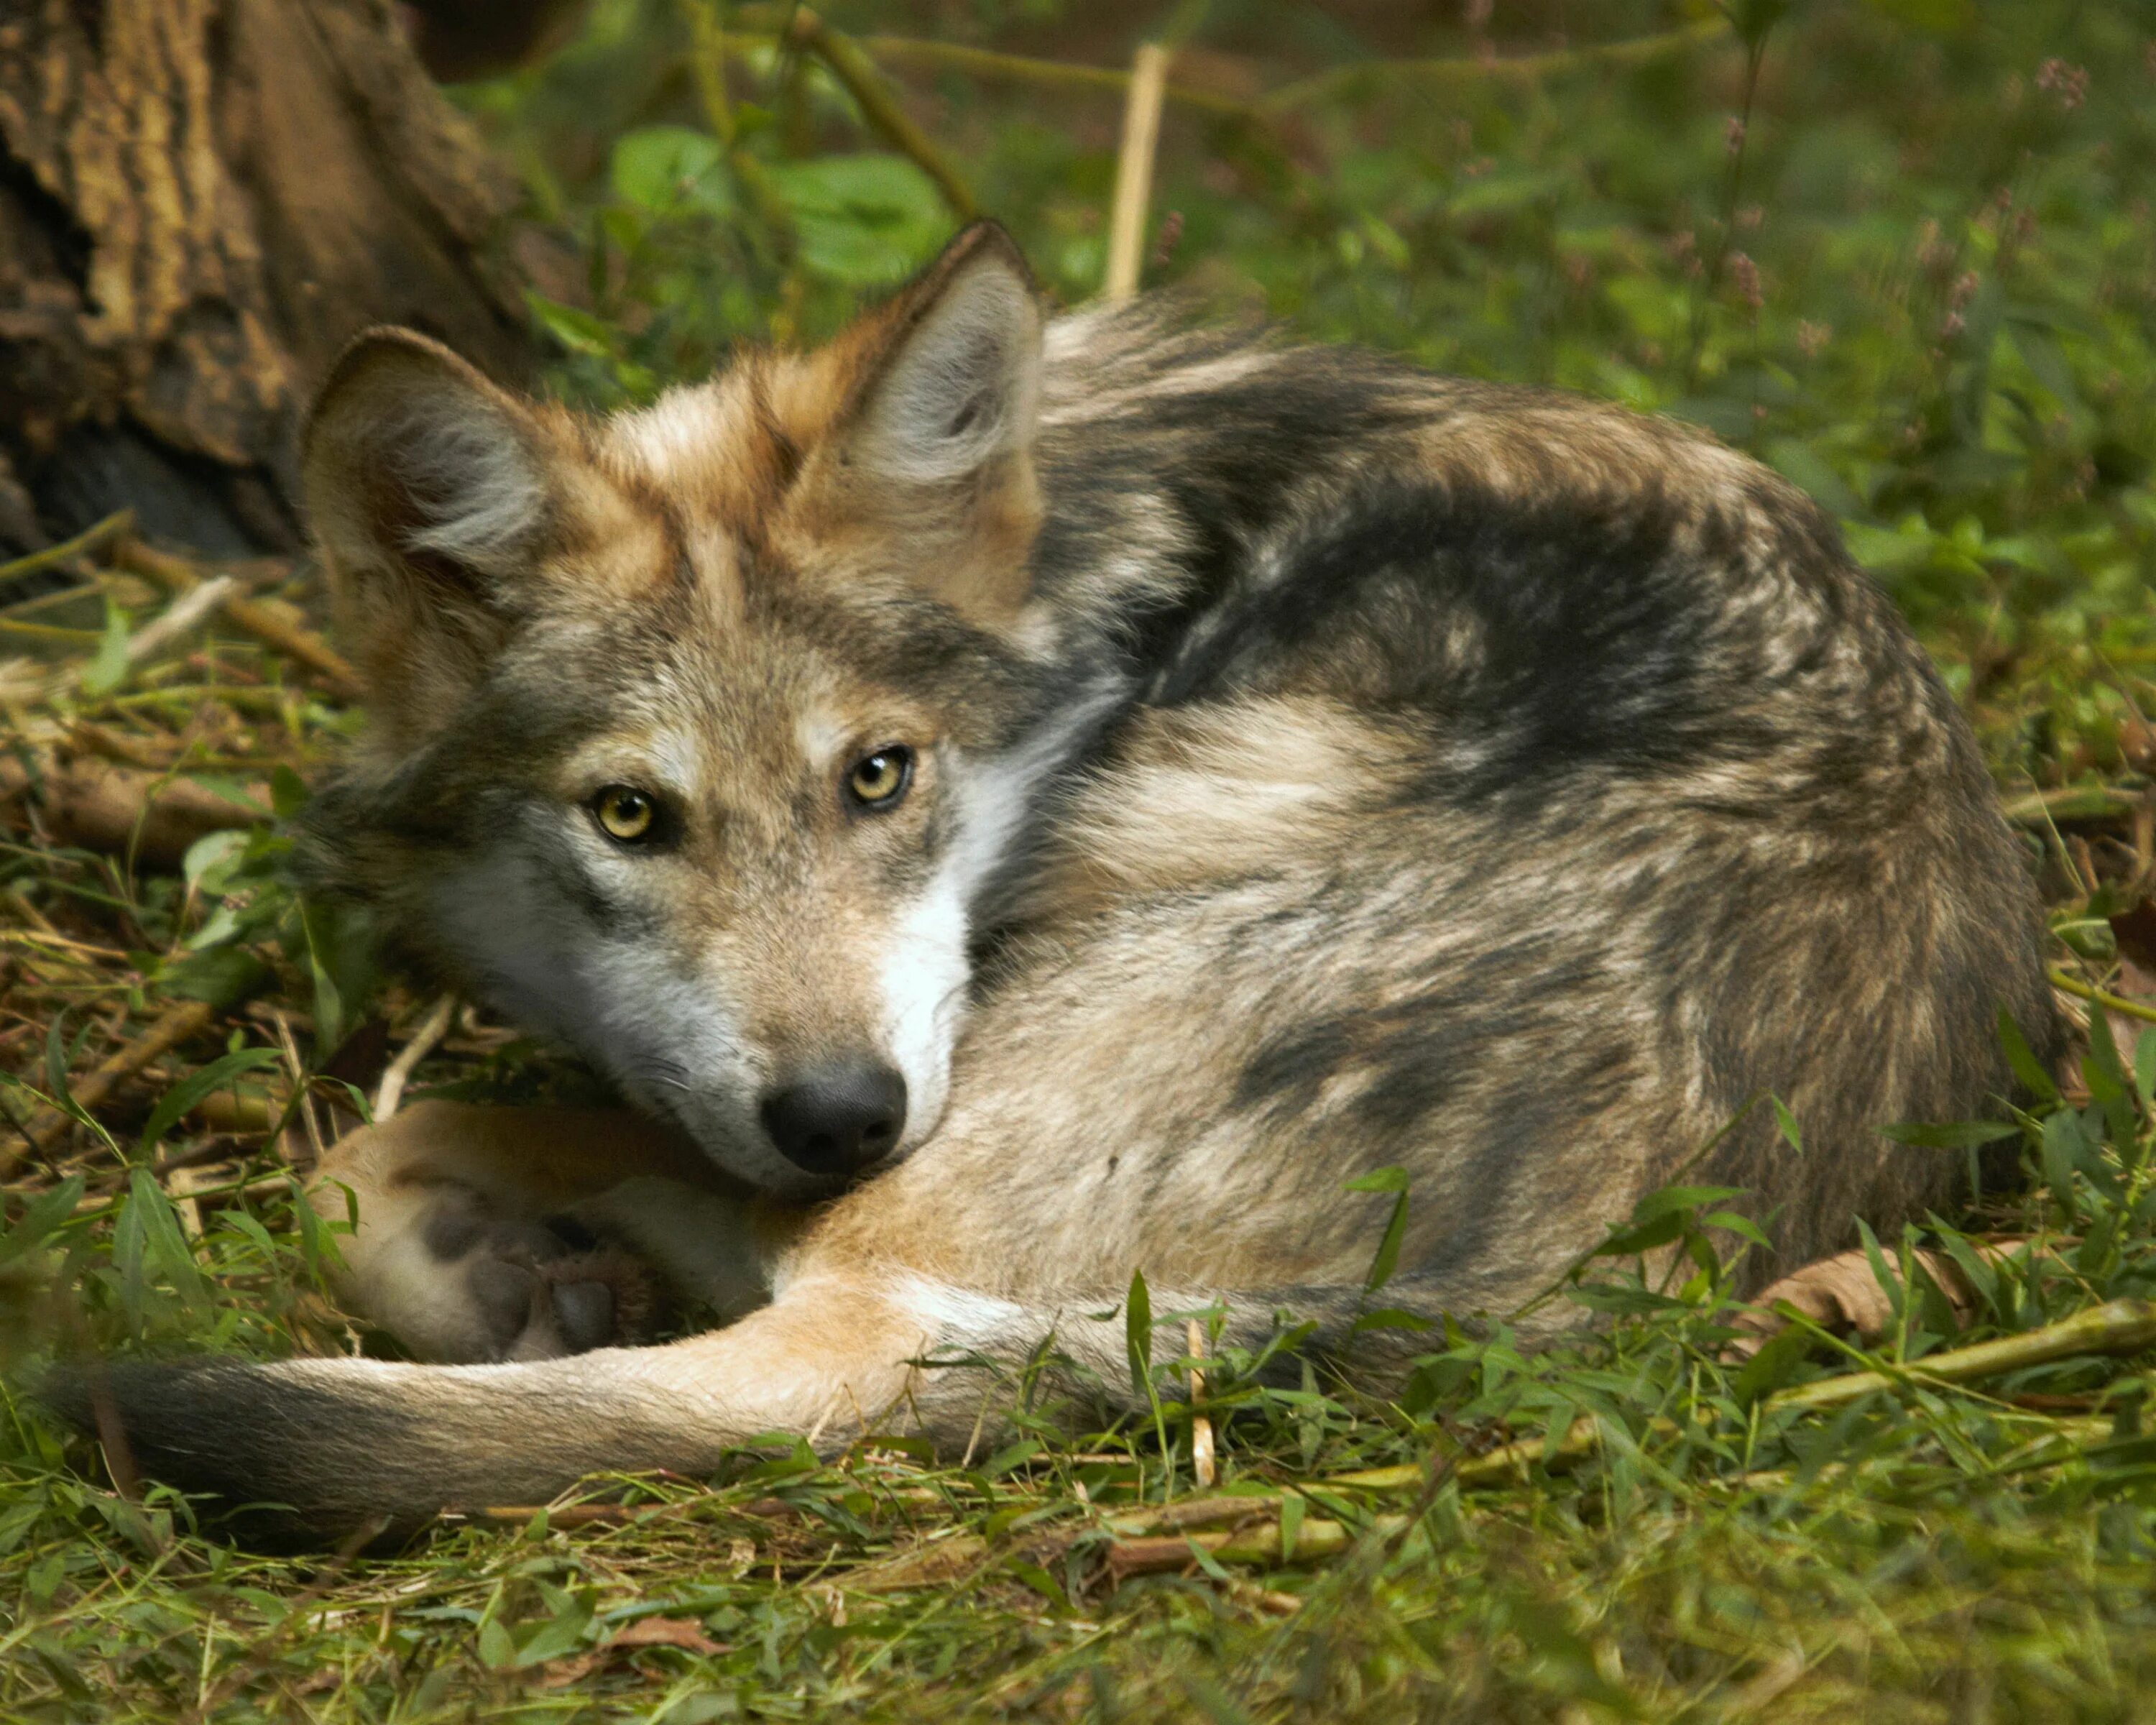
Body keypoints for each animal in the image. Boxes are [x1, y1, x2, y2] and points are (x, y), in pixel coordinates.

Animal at [50, 225, 2061, 1535]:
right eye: (629, 817)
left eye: (879, 773)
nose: (841, 1112)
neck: (1129, 562)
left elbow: (388, 1157)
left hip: (963, 1144)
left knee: (769, 1295)